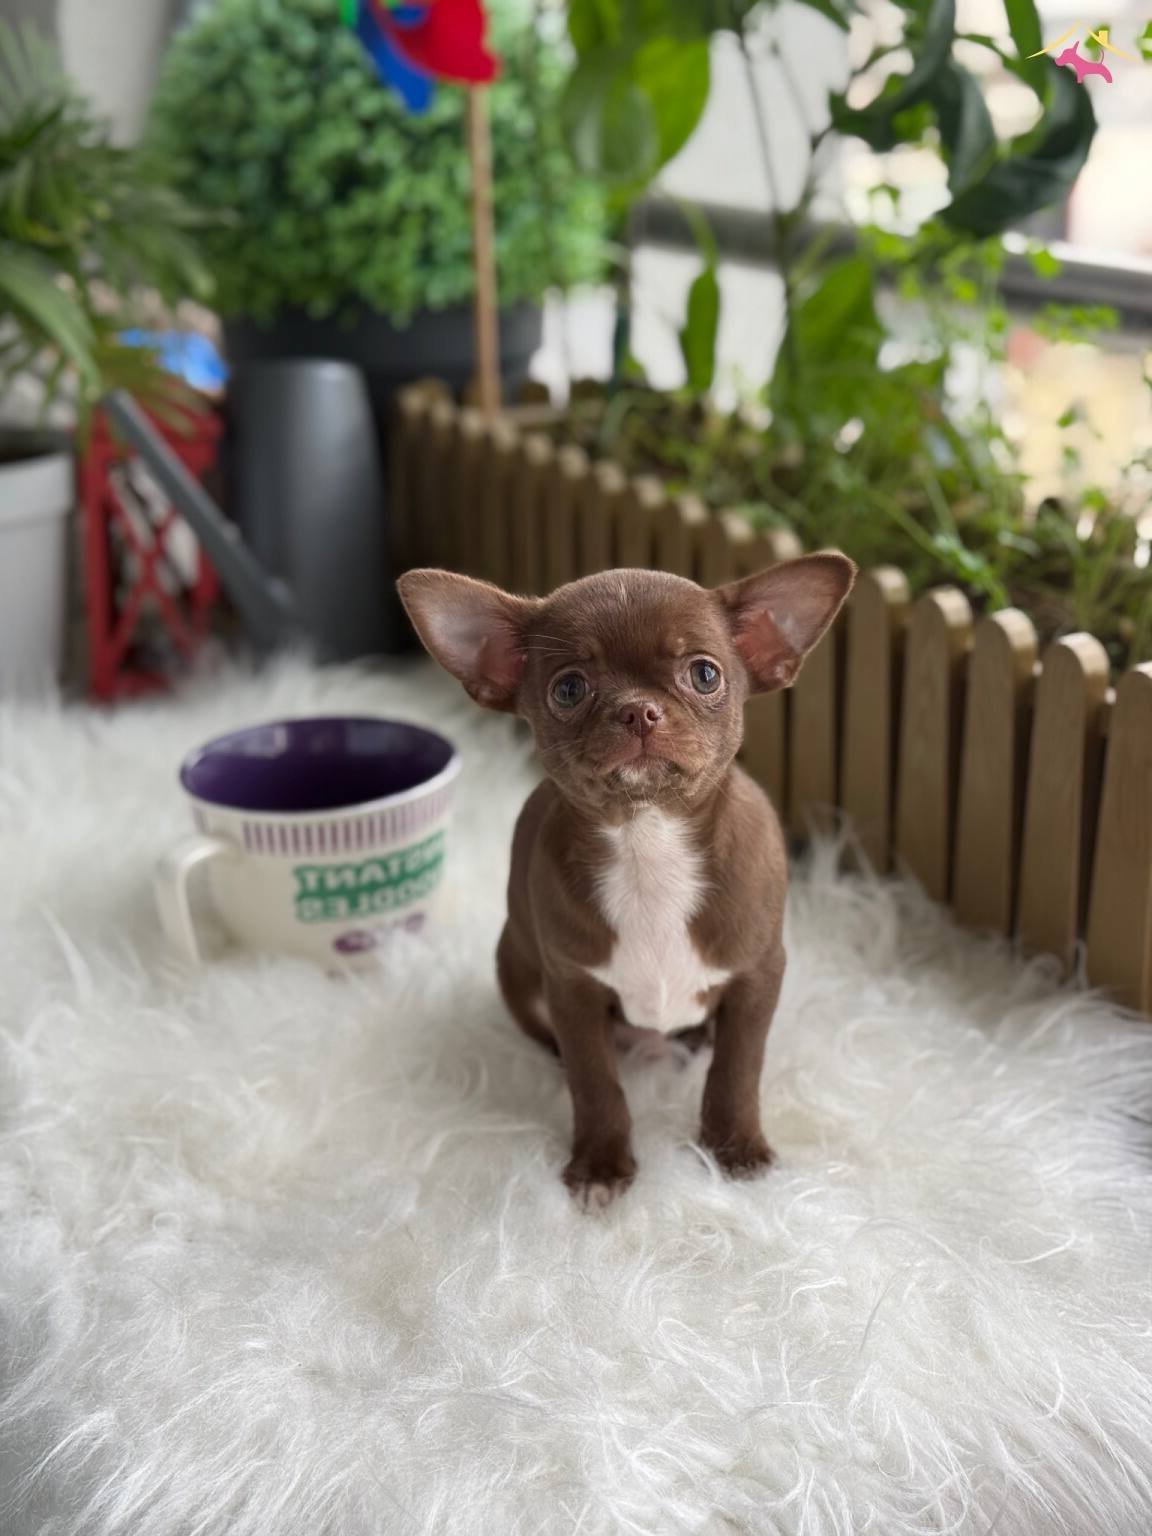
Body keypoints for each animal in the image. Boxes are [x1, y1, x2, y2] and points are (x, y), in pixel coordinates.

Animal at [398, 554, 855, 1206]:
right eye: (568, 689)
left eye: (705, 675)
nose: (639, 709)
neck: (648, 842)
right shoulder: (573, 991)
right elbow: (595, 1083)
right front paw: (601, 1165)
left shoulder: (757, 977)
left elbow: (737, 1071)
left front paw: (735, 1150)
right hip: (515, 968)